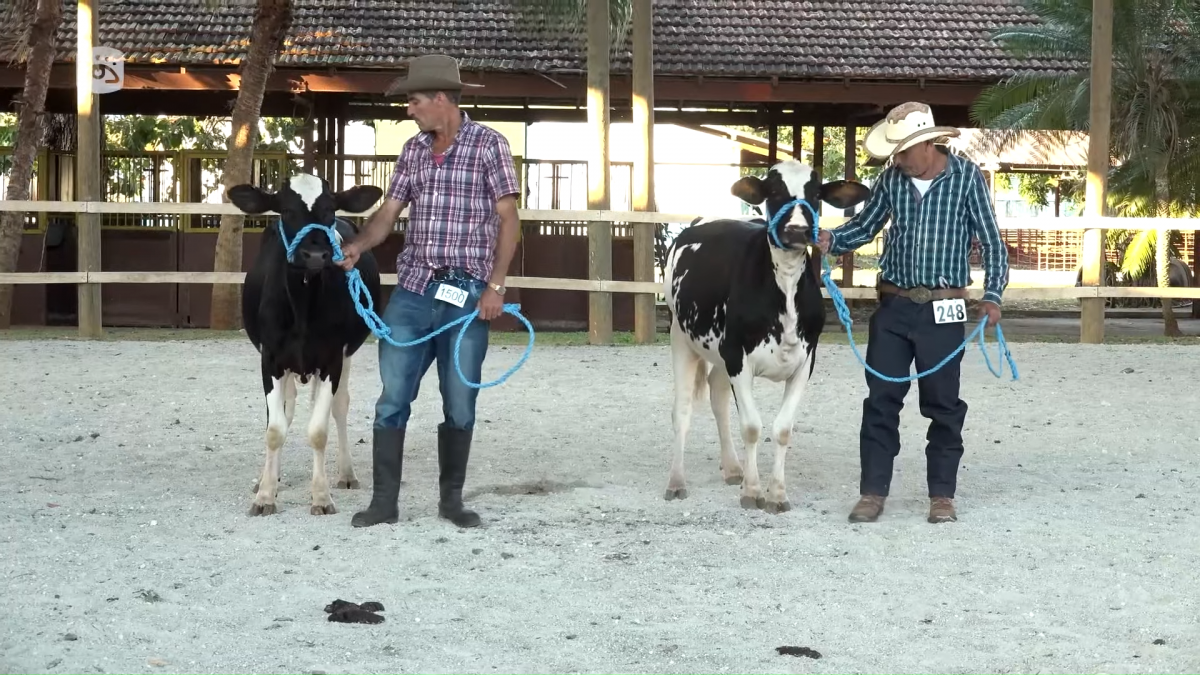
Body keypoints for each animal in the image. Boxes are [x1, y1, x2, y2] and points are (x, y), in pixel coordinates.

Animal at [226, 171, 381, 514]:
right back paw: (269, 475)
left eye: (330, 210)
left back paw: (346, 473)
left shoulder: (332, 359)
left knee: (338, 406)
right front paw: (265, 494)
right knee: (287, 410)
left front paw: (321, 496)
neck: (302, 306)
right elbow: (275, 429)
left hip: (345, 356)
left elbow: (318, 431)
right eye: (286, 210)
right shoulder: (270, 358)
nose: (315, 255)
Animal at [662, 159, 868, 511]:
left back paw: (733, 468)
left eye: (816, 193)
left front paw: (777, 494)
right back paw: (677, 481)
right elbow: (751, 426)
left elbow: (782, 429)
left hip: (718, 353)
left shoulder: (805, 362)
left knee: (718, 397)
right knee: (682, 411)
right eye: (773, 190)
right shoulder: (738, 358)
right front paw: (753, 490)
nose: (797, 230)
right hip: (682, 336)